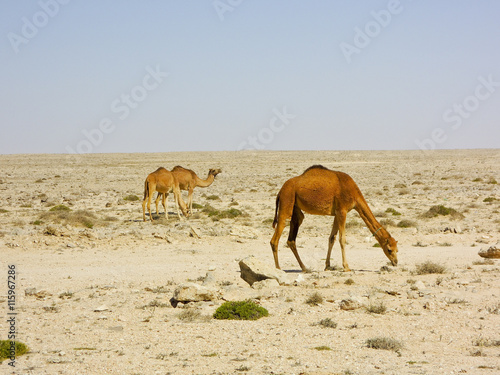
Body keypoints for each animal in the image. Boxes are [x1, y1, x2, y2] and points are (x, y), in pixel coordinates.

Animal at [270, 166, 398, 272]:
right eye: (389, 249)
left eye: (397, 249)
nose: (395, 262)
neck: (354, 195)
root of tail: (280, 191)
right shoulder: (342, 211)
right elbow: (342, 239)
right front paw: (346, 267)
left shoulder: (337, 213)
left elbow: (332, 238)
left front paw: (327, 266)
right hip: (287, 199)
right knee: (276, 237)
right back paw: (278, 269)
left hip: (295, 207)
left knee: (292, 238)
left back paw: (304, 268)